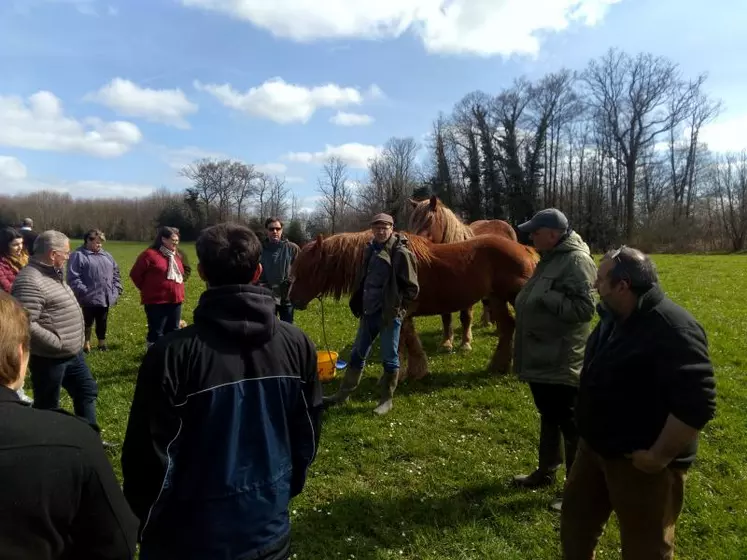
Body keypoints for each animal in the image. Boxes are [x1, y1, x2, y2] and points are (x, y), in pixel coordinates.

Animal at [286, 229, 536, 380]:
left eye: (308, 269)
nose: (292, 300)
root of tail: (525, 249)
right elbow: (407, 344)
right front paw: (411, 372)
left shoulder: (400, 315)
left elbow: (405, 345)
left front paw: (409, 373)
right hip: (496, 299)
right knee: (508, 327)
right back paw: (498, 366)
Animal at [410, 195, 524, 348]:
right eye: (413, 221)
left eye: (429, 220)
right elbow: (446, 317)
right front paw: (447, 342)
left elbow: (466, 316)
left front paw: (465, 342)